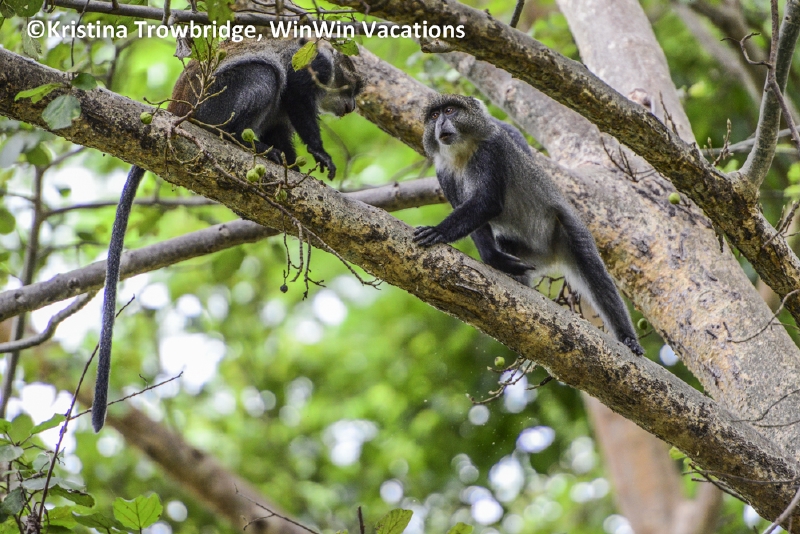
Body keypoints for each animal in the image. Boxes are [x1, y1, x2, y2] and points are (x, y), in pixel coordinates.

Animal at [92, 38, 362, 432]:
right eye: (352, 87)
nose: (353, 106)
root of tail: (176, 111)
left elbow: (283, 123)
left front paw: (291, 161)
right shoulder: (312, 68)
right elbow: (295, 93)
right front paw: (318, 151)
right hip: (220, 98)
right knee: (266, 76)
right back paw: (237, 138)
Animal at [414, 93, 644, 356]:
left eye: (450, 111)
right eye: (434, 115)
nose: (441, 123)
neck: (462, 153)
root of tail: (551, 255)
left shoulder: (491, 152)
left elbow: (487, 202)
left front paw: (438, 231)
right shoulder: (443, 172)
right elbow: (480, 227)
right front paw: (495, 259)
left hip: (566, 229)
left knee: (593, 271)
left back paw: (628, 338)